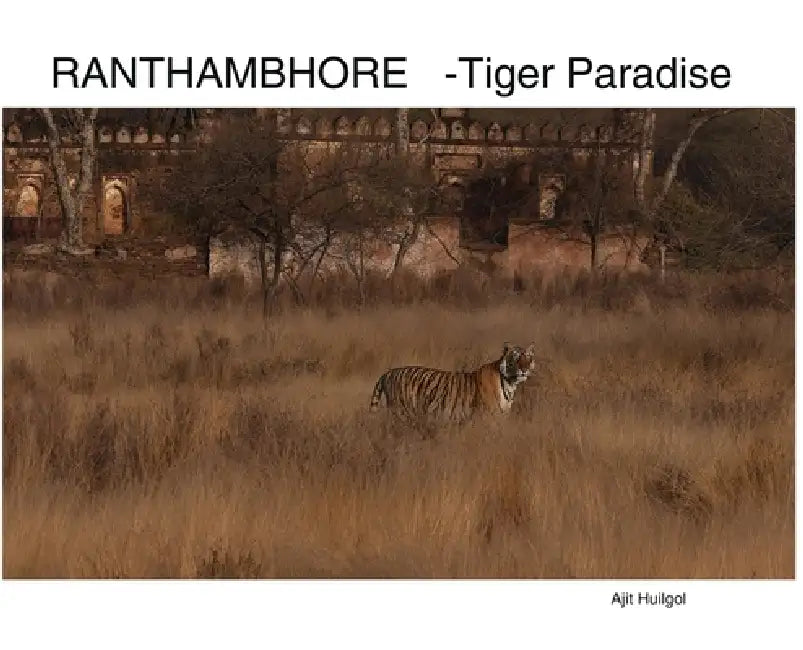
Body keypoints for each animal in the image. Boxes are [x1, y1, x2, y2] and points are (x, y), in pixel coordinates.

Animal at [369, 342, 537, 422]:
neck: (510, 384)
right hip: (401, 412)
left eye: (528, 358)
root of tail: (388, 373)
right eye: (516, 358)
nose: (524, 370)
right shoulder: (489, 418)